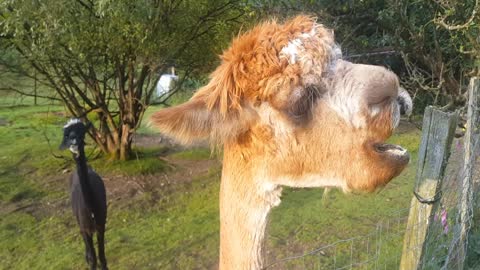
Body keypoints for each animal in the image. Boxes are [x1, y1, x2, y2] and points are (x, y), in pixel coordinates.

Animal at [60, 119, 108, 270]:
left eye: (82, 132)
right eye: (67, 135)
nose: (74, 141)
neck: (90, 209)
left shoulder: (100, 224)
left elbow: (102, 257)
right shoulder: (85, 228)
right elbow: (93, 259)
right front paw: (89, 260)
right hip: (78, 219)